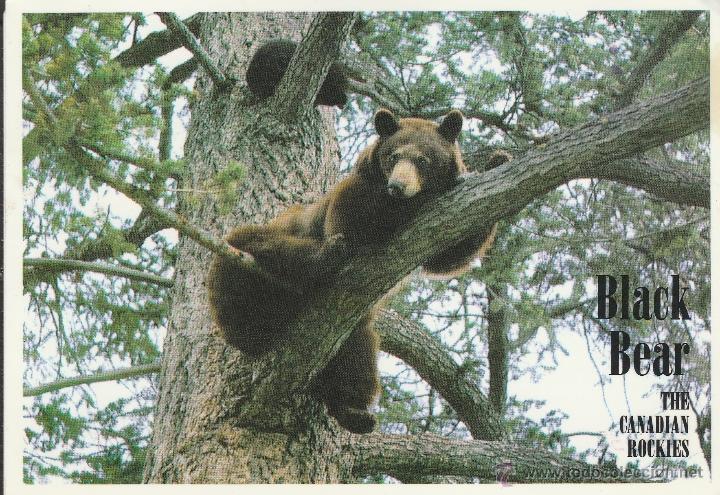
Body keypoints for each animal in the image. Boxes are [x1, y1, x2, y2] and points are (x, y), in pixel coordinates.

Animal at [207, 108, 498, 434]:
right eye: (393, 156)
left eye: (423, 159)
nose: (398, 187)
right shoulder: (354, 197)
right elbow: (356, 225)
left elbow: (450, 255)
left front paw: (497, 160)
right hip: (244, 256)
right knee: (261, 250)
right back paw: (322, 259)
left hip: (347, 331)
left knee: (356, 357)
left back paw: (353, 411)